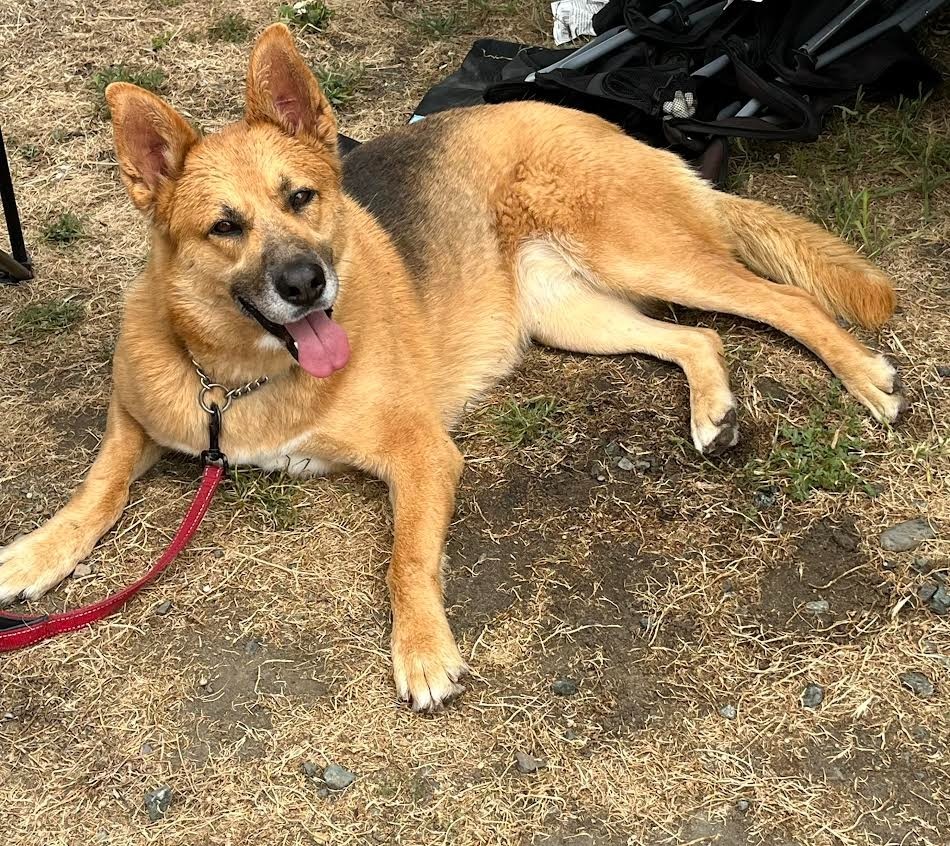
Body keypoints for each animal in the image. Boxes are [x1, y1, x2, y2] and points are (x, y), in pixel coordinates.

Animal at [1, 26, 908, 712]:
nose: (307, 284)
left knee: (782, 303)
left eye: (302, 198)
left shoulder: (423, 455)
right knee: (699, 342)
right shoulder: (138, 413)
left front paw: (422, 649)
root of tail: (599, 121)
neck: (236, 379)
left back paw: (864, 376)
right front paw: (35, 555)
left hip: (642, 255)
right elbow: (97, 488)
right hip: (573, 315)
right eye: (225, 226)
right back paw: (712, 408)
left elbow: (405, 558)